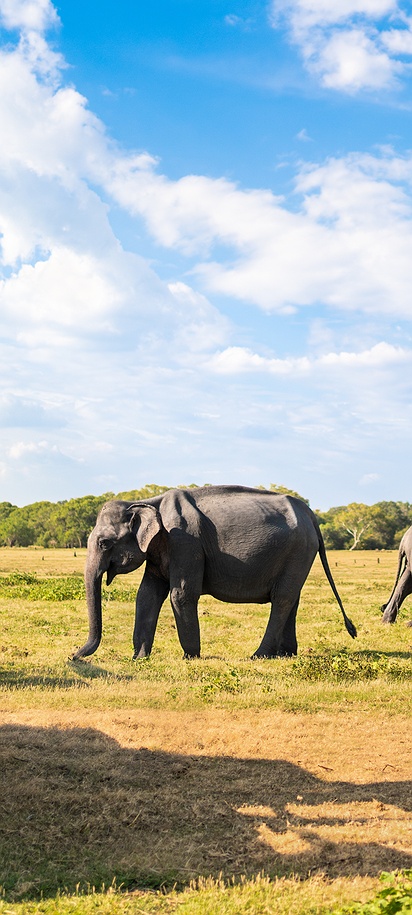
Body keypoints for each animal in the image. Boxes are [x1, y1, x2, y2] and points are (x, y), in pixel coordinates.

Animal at [71, 485, 357, 662]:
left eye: (104, 543)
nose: (72, 656)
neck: (148, 502)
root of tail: (311, 515)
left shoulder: (185, 543)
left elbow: (181, 594)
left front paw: (190, 657)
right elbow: (147, 595)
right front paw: (139, 658)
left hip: (299, 550)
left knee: (283, 599)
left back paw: (259, 656)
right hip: (298, 554)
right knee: (291, 598)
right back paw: (285, 654)